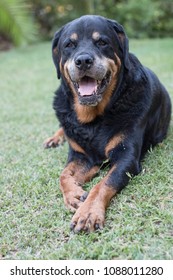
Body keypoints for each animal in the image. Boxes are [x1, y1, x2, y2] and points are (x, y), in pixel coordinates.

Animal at [44, 15, 171, 234]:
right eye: (69, 44)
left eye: (102, 42)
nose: (83, 60)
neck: (94, 118)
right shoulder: (80, 155)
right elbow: (63, 175)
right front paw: (74, 195)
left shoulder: (126, 157)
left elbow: (104, 183)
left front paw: (88, 212)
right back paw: (54, 138)